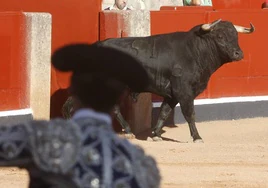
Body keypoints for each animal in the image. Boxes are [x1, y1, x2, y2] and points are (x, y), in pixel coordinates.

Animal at [63, 19, 254, 142]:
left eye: (236, 36)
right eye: (220, 37)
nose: (239, 54)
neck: (195, 51)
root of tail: (94, 47)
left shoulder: (172, 94)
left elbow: (164, 111)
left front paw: (155, 134)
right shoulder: (184, 91)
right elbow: (189, 113)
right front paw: (197, 137)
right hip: (111, 85)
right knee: (107, 107)